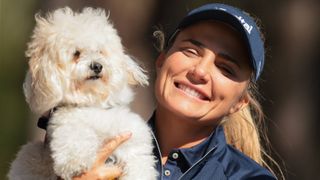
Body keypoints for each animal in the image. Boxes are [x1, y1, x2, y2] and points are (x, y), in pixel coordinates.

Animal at [7, 7, 158, 180]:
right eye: (76, 53)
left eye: (100, 51)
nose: (97, 66)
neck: (91, 102)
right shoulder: (65, 124)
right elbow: (74, 136)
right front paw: (76, 162)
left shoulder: (132, 138)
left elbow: (138, 161)